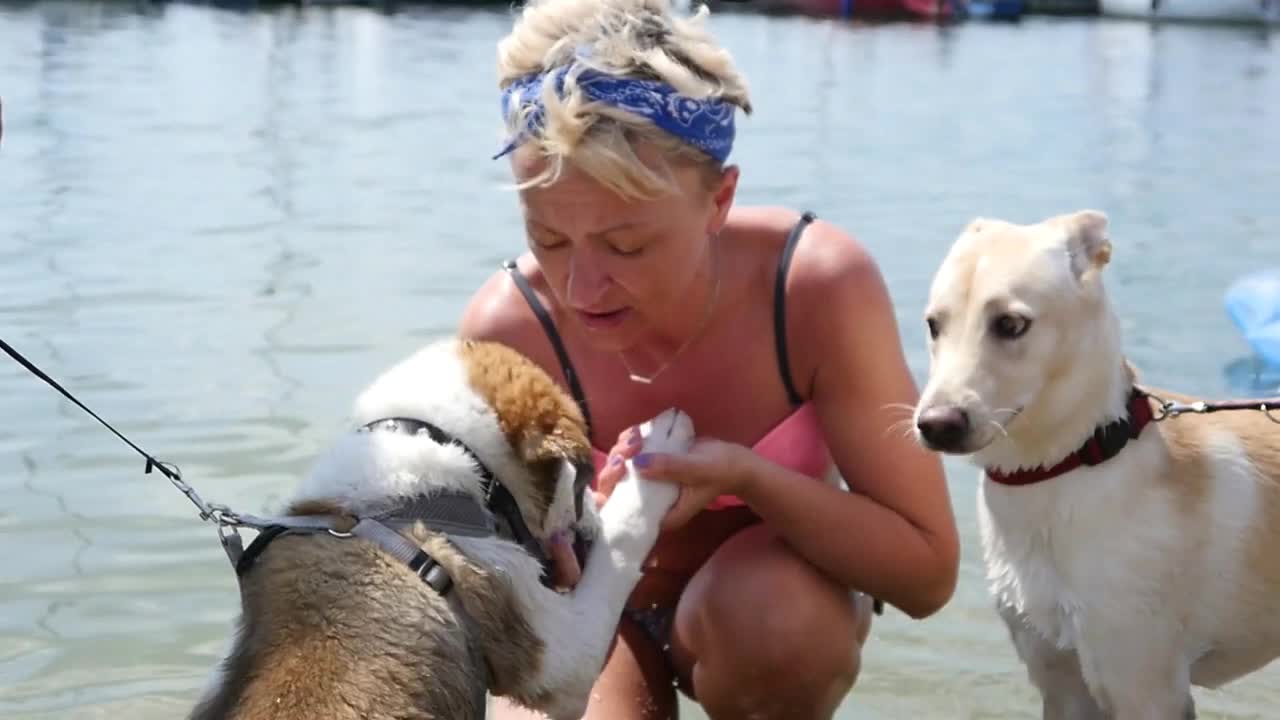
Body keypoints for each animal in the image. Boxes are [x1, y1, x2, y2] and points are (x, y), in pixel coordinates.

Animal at [916, 208, 1280, 717]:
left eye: (1010, 324)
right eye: (934, 324)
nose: (935, 425)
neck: (1069, 465)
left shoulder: (1145, 686)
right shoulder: (1061, 681)